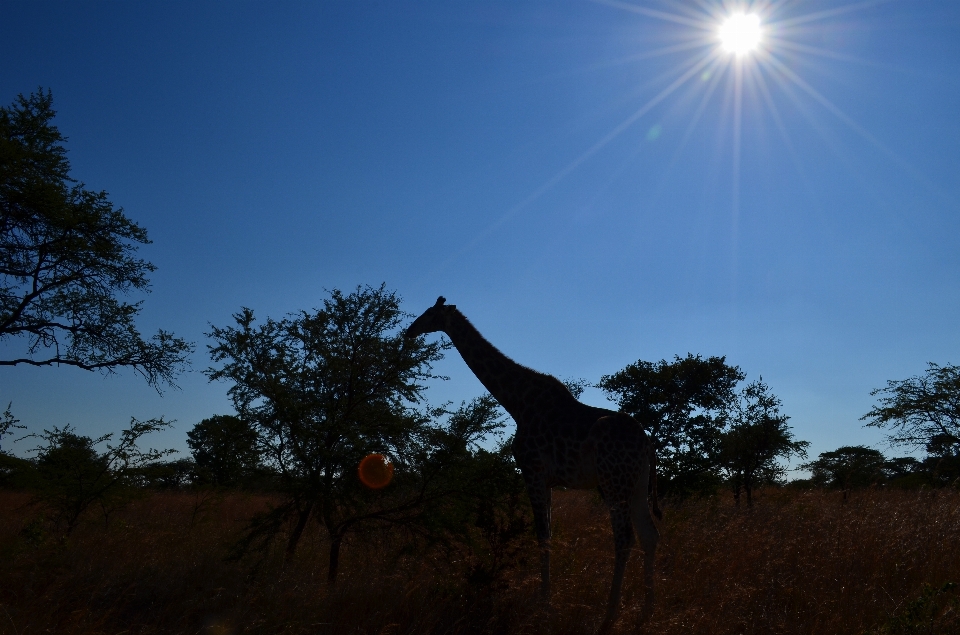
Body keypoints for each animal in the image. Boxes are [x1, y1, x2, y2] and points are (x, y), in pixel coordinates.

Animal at [404, 296, 660, 632]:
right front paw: (546, 600)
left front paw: (544, 605)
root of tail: (647, 444)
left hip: (613, 481)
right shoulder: (547, 479)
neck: (516, 402)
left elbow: (542, 536)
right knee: (649, 535)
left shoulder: (532, 471)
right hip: (637, 483)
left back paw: (609, 617)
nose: (409, 330)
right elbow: (548, 536)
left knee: (625, 537)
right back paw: (646, 613)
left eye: (430, 313)